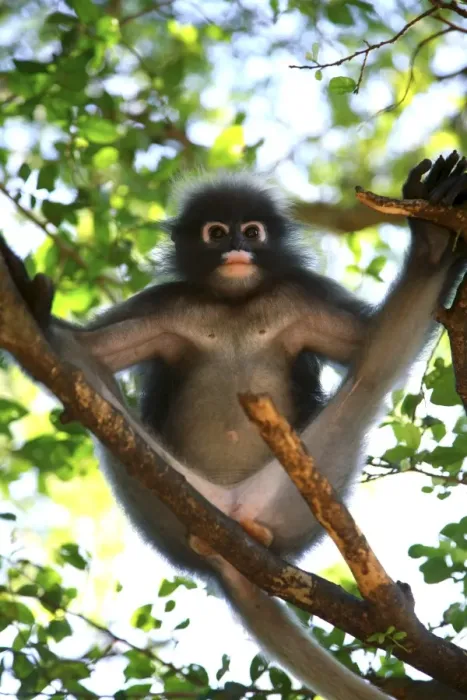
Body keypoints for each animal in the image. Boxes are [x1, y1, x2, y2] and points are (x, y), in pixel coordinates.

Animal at [1, 151, 467, 700]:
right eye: (217, 232)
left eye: (252, 230)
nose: (238, 249)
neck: (235, 304)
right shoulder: (166, 306)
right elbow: (87, 349)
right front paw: (32, 307)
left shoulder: (300, 298)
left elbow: (368, 343)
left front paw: (434, 239)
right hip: (167, 510)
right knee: (82, 375)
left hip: (289, 503)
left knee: (371, 375)